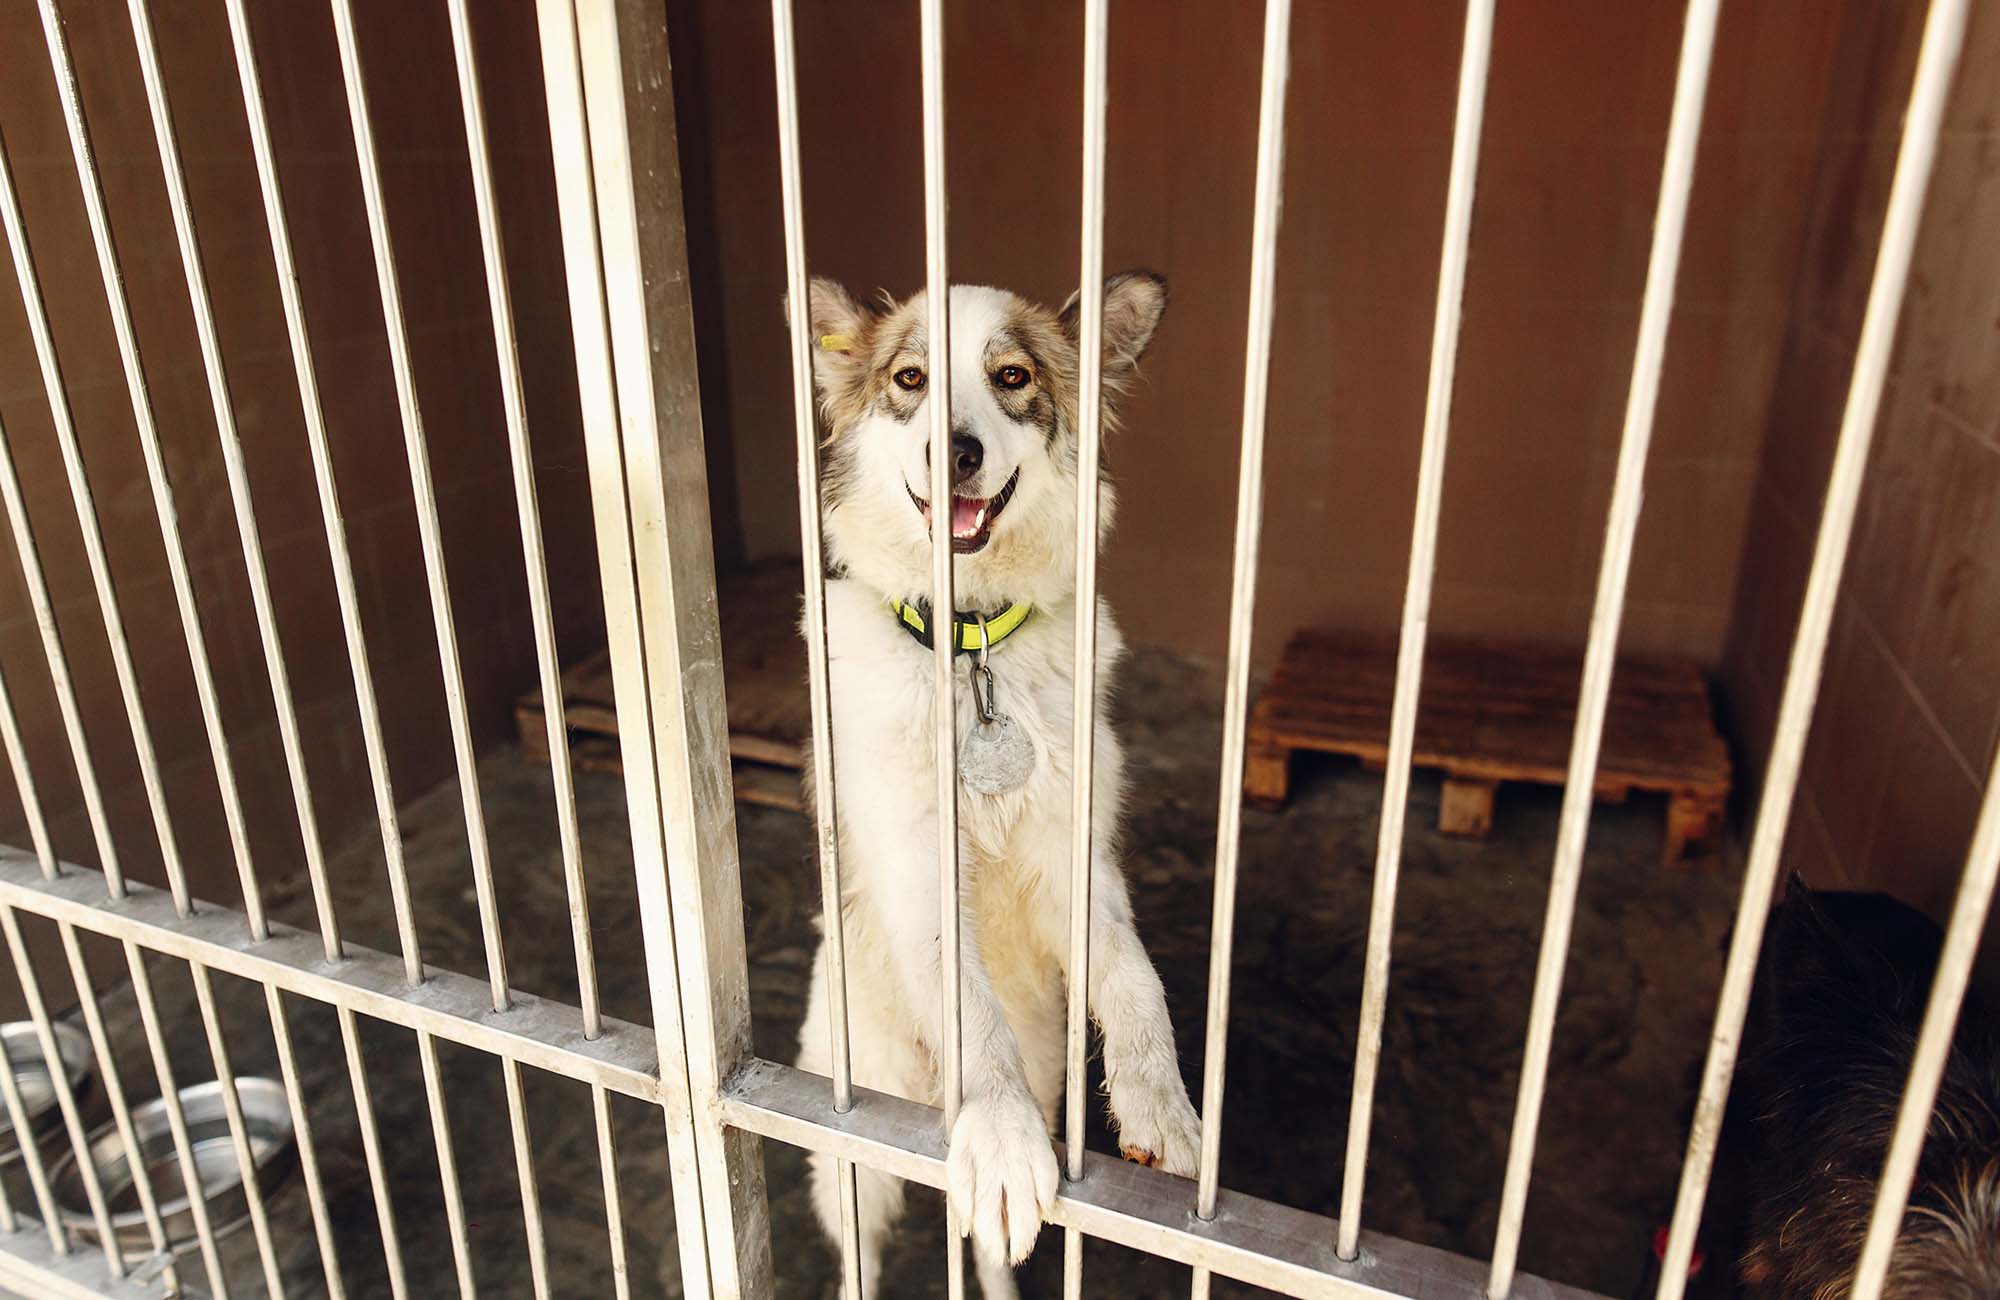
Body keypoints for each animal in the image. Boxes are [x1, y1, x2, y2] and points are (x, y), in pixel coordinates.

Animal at [792, 268, 1200, 1288]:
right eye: (909, 378)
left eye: (1011, 376)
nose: (957, 452)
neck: (970, 644)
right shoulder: (915, 866)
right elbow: (974, 1014)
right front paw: (1004, 1138)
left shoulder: (1077, 860)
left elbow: (1135, 978)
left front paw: (1162, 1103)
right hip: (854, 1150)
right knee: (859, 1251)